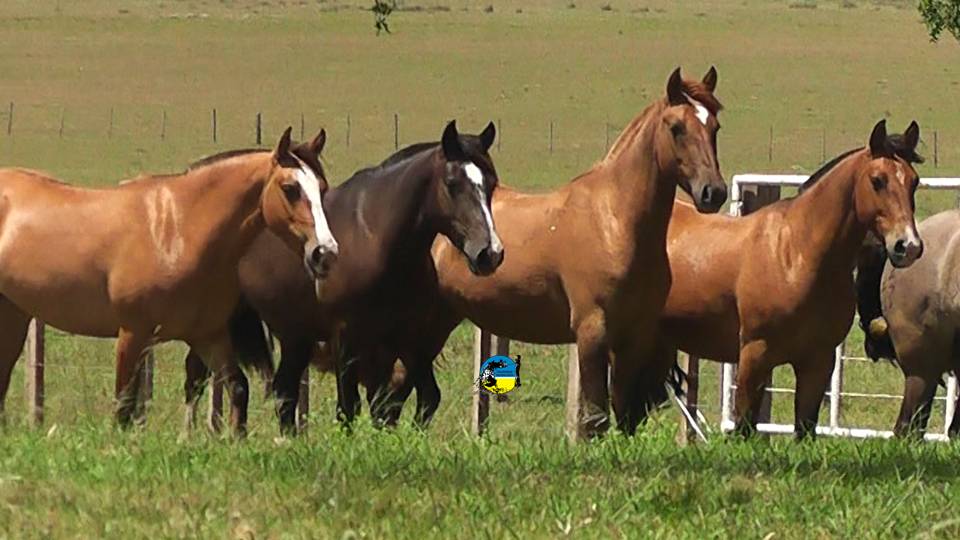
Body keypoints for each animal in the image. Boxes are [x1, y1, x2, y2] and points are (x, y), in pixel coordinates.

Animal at [0, 128, 338, 436]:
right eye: (290, 188)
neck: (176, 230)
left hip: (14, 315)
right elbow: (124, 406)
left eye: (322, 188)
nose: (325, 253)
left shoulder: (209, 336)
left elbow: (238, 388)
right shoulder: (134, 333)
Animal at [180, 120, 504, 434]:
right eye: (452, 184)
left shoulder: (404, 339)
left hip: (294, 335)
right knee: (197, 378)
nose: (489, 253)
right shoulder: (347, 337)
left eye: (491, 183)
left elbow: (410, 401)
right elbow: (349, 407)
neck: (375, 238)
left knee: (282, 391)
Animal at [361, 67, 727, 438]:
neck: (614, 221)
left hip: (436, 323)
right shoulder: (592, 332)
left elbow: (626, 417)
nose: (713, 192)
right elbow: (595, 418)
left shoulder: (633, 337)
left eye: (714, 127)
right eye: (676, 127)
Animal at [653, 120, 923, 439]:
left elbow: (805, 428)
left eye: (914, 182)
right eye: (877, 180)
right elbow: (745, 427)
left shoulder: (818, 362)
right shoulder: (754, 356)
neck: (796, 255)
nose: (908, 246)